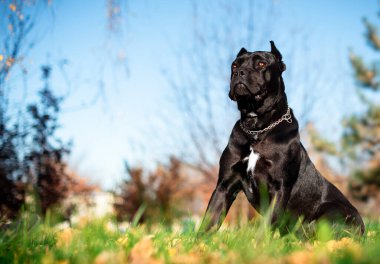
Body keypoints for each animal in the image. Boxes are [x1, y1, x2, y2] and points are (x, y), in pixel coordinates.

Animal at [199, 40, 366, 234]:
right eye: (234, 64)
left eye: (261, 63)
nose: (239, 72)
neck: (257, 128)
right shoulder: (225, 185)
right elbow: (210, 219)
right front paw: (199, 240)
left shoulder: (279, 186)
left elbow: (267, 223)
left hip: (330, 211)